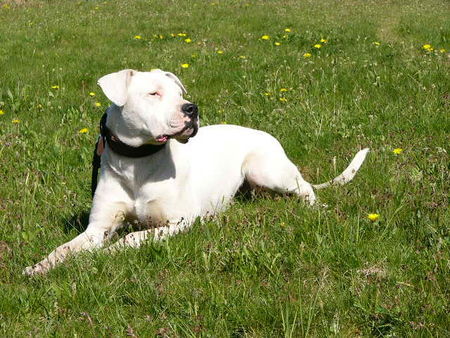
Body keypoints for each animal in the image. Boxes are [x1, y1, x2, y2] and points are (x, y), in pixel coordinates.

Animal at [24, 68, 368, 274]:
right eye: (153, 94)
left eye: (179, 94)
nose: (192, 109)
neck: (137, 161)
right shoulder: (97, 227)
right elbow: (65, 249)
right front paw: (38, 267)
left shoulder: (179, 221)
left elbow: (130, 238)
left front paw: (105, 255)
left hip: (266, 169)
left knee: (305, 186)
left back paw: (314, 206)